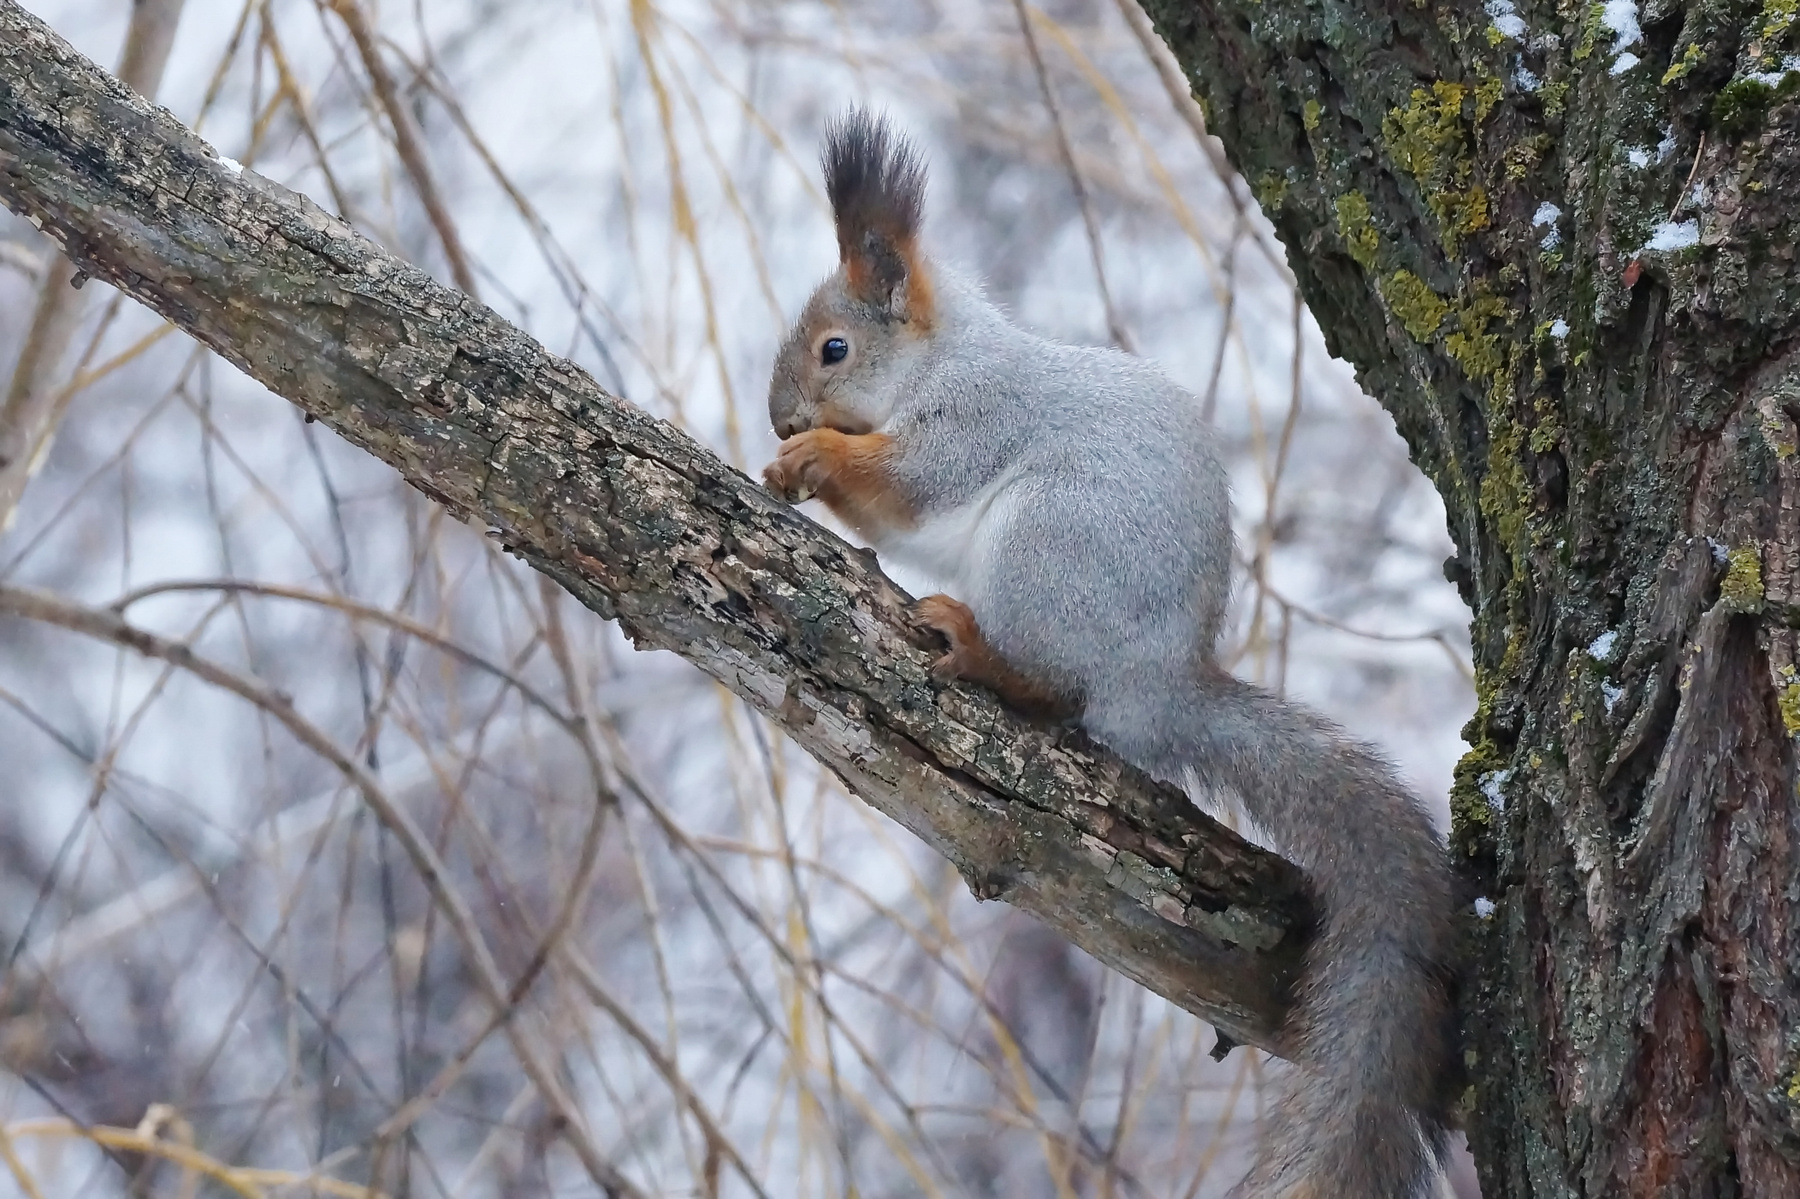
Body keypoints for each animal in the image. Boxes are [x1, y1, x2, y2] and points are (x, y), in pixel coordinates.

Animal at [762, 109, 1457, 1199]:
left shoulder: (974, 419)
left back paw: (977, 648)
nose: (780, 414)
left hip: (1047, 544)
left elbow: (909, 484)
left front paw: (815, 457)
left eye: (834, 348)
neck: (940, 360)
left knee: (1054, 690)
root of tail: (1157, 685)